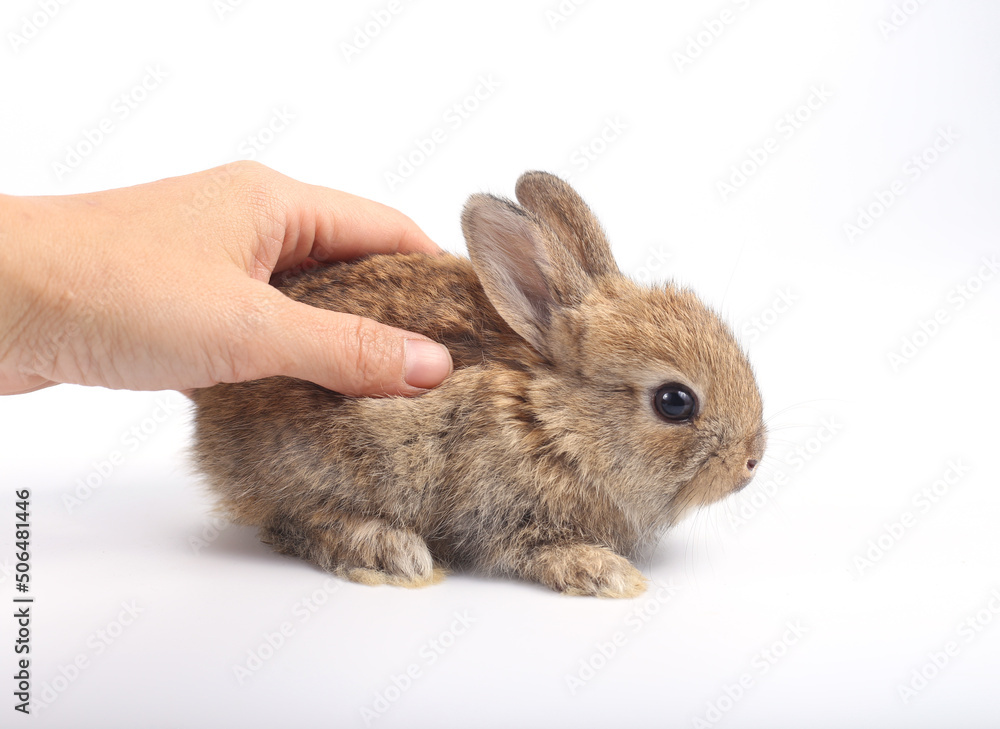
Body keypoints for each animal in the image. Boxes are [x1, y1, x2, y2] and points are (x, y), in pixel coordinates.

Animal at [190, 171, 766, 598]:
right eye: (675, 401)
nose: (751, 462)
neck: (552, 423)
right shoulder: (498, 511)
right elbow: (530, 549)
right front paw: (607, 574)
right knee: (293, 521)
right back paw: (392, 553)